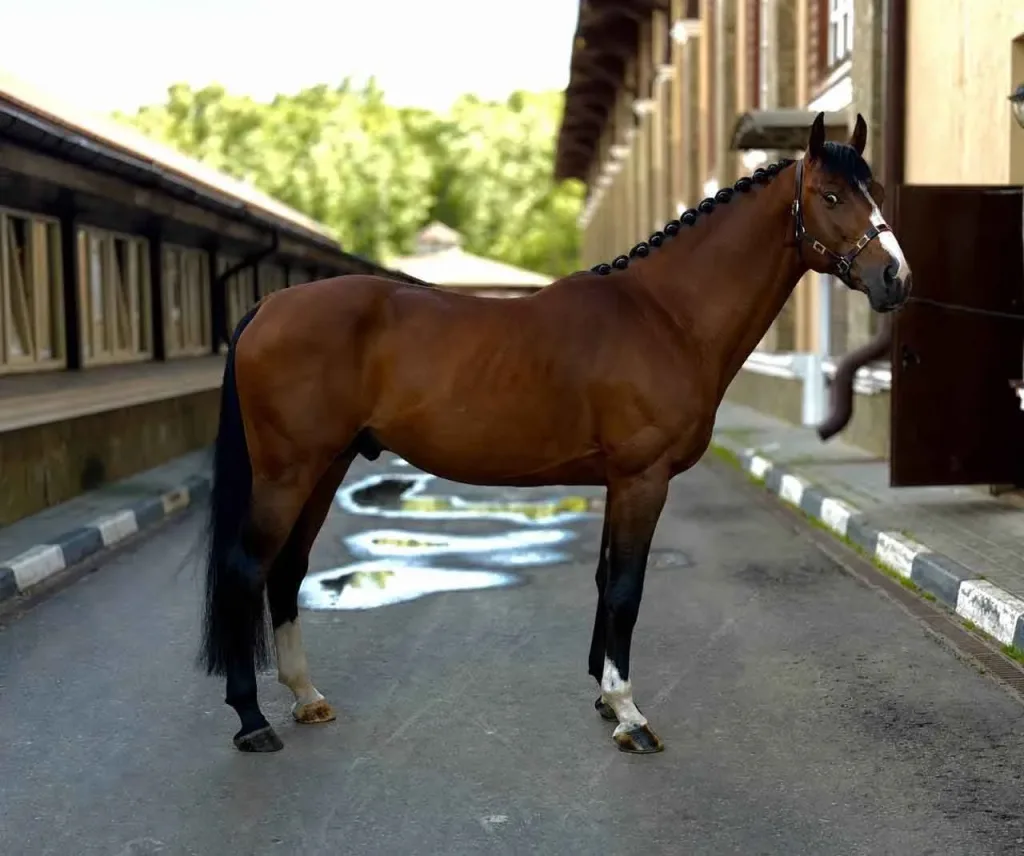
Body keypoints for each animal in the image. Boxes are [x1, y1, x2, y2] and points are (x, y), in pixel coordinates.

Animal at [199, 112, 912, 755]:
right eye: (830, 195)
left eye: (876, 191)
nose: (895, 278)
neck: (665, 316)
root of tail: (270, 305)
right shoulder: (642, 479)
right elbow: (626, 589)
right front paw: (629, 715)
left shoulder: (617, 483)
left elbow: (603, 581)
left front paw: (604, 697)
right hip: (288, 473)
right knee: (245, 570)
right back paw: (252, 720)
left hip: (326, 468)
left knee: (287, 571)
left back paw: (305, 697)